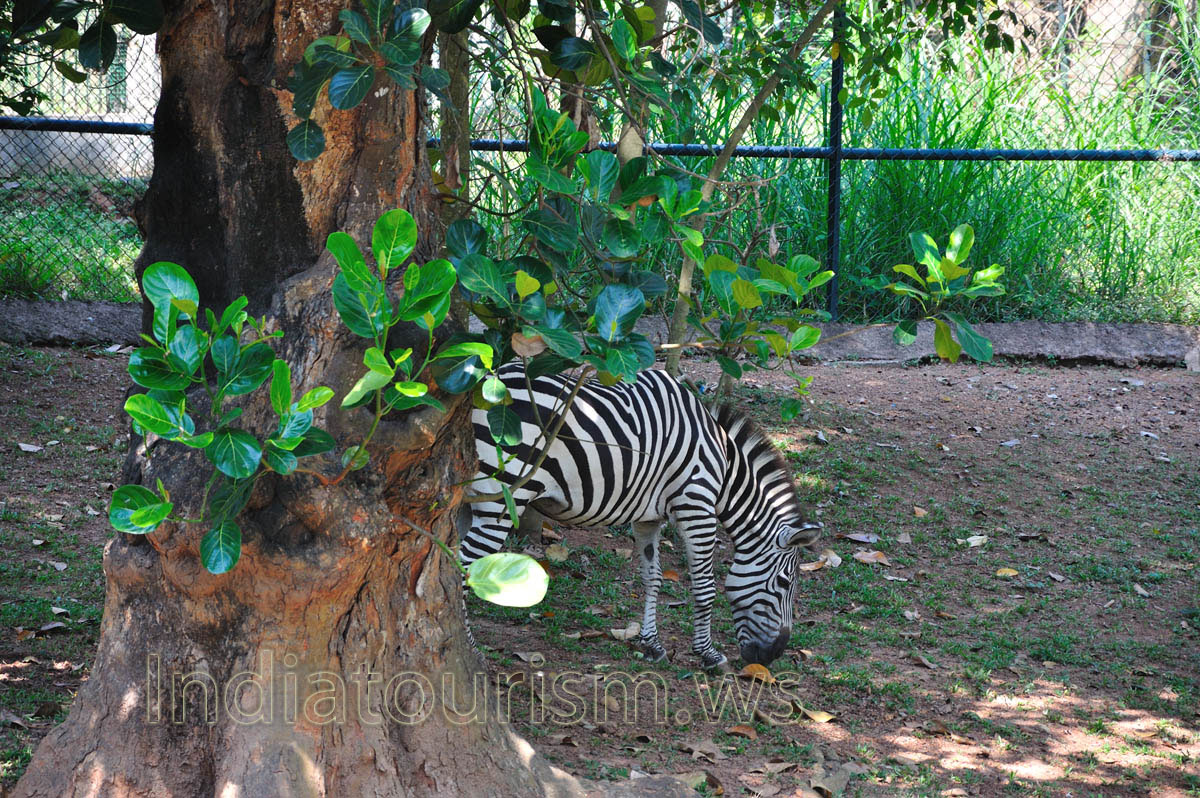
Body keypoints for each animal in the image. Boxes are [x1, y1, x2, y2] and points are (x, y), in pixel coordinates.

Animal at [462, 362, 822, 668]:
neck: (724, 467)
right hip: (500, 501)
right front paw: (707, 654)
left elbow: (653, 577)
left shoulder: (648, 516)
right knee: (463, 570)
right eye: (784, 583)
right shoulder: (696, 506)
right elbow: (704, 585)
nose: (772, 657)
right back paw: (471, 652)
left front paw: (652, 644)